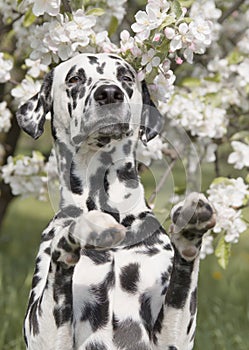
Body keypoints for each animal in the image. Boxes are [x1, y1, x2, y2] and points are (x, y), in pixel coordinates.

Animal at [17, 52, 216, 350]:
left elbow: (181, 285)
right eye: (74, 78)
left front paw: (189, 232)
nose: (109, 93)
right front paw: (82, 229)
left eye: (126, 76)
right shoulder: (43, 333)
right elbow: (61, 252)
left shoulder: (173, 337)